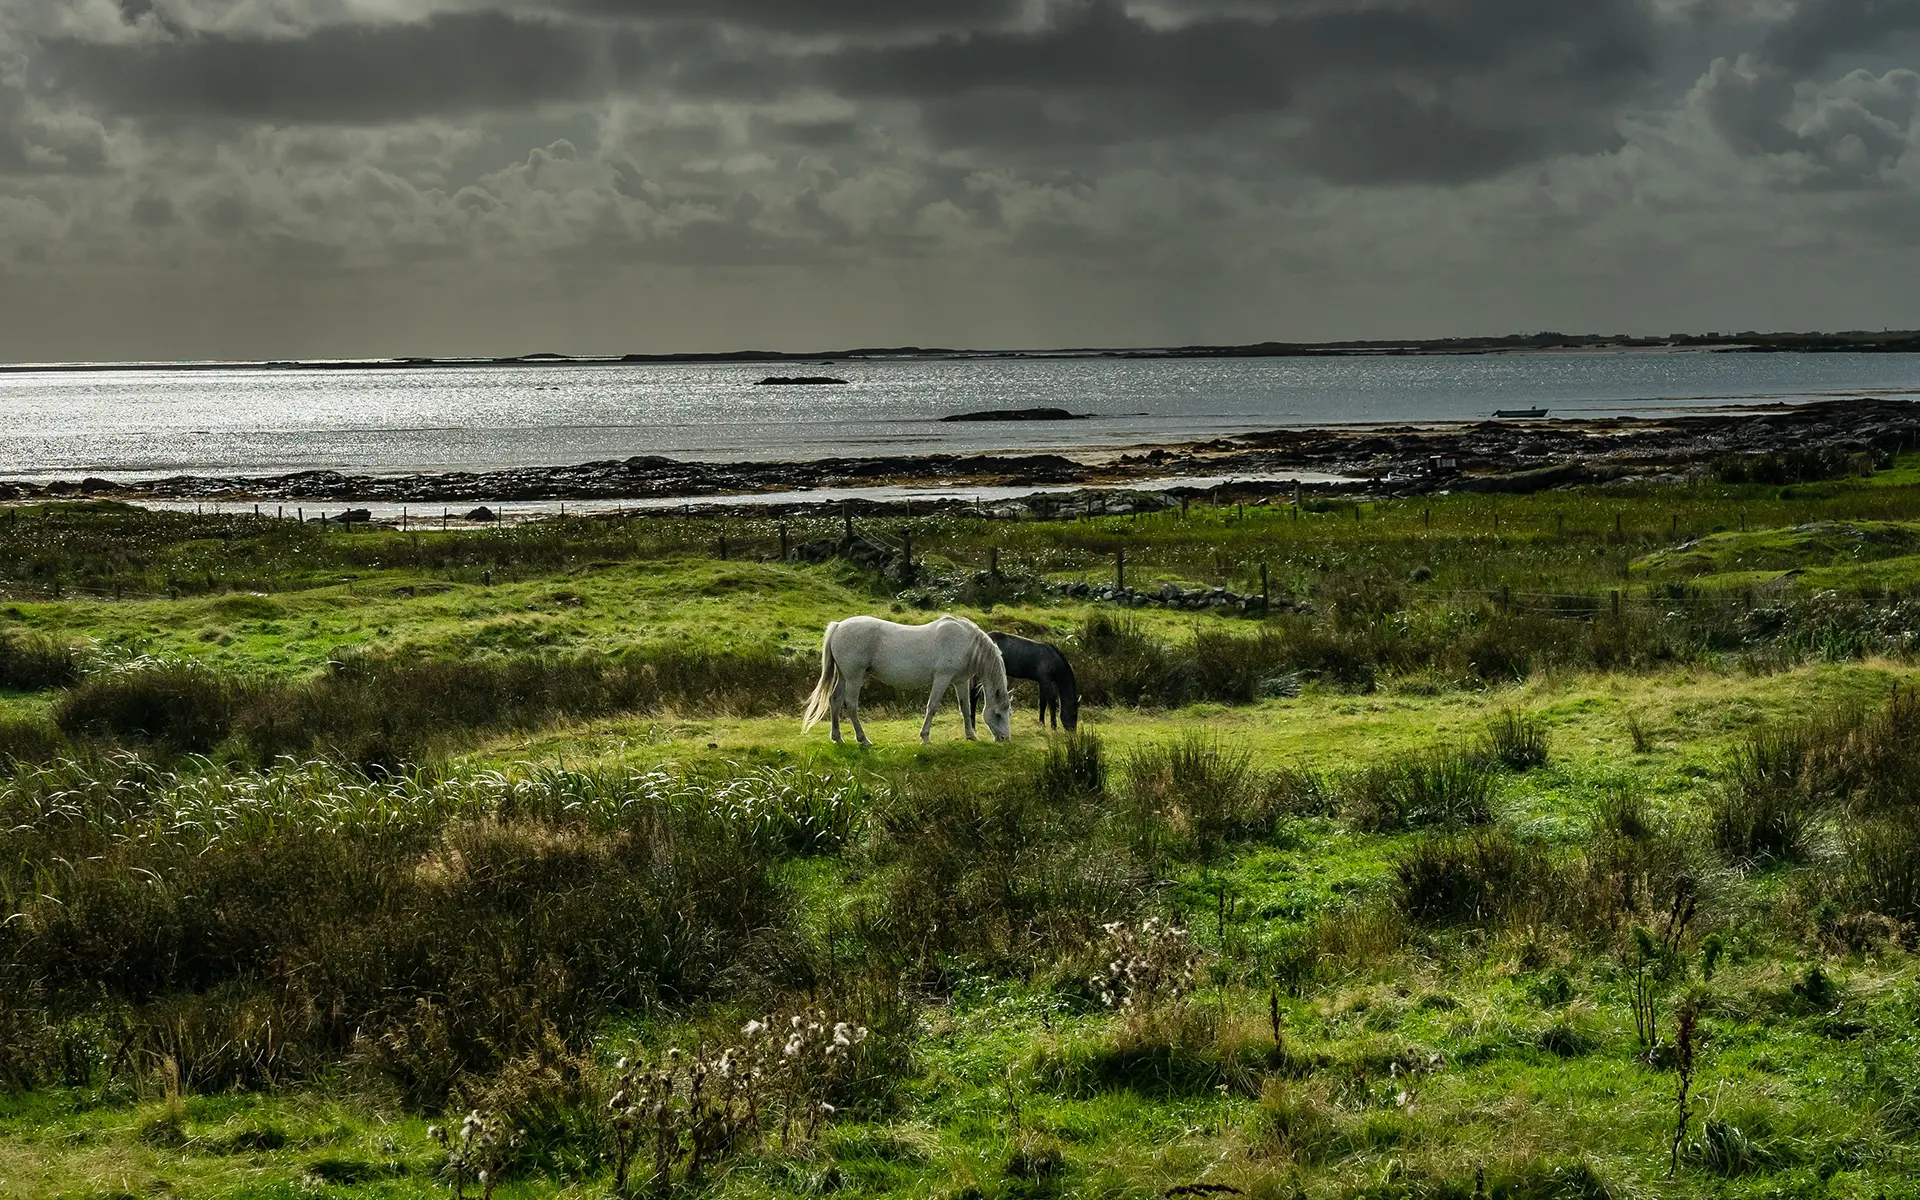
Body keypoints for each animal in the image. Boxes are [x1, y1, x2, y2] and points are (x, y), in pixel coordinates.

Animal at [802, 614, 1013, 744]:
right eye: (998, 715)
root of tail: (838, 626)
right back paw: (863, 739)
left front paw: (971, 736)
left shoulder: (960, 681)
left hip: (844, 676)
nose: (1004, 738)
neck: (966, 643)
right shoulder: (942, 678)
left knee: (835, 701)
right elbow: (932, 706)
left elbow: (966, 708)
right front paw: (925, 737)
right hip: (854, 676)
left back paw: (837, 737)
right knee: (851, 705)